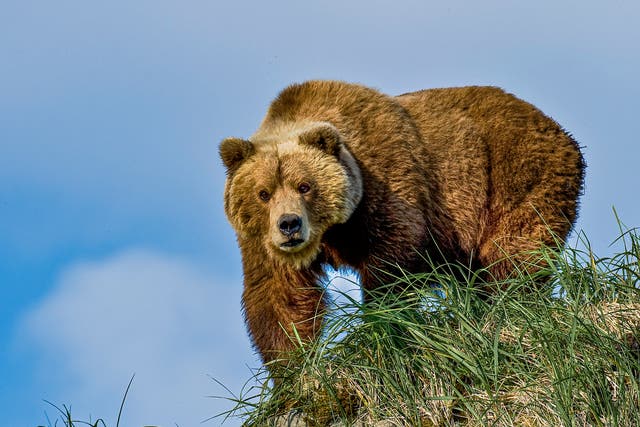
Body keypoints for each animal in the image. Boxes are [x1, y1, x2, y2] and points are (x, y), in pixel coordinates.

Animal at [219, 80, 585, 369]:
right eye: (263, 193)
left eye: (305, 186)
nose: (289, 225)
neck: (333, 231)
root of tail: (559, 129)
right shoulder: (261, 242)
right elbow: (279, 297)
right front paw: (291, 368)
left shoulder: (387, 183)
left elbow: (391, 266)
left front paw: (382, 327)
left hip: (516, 175)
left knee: (513, 256)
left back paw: (509, 311)